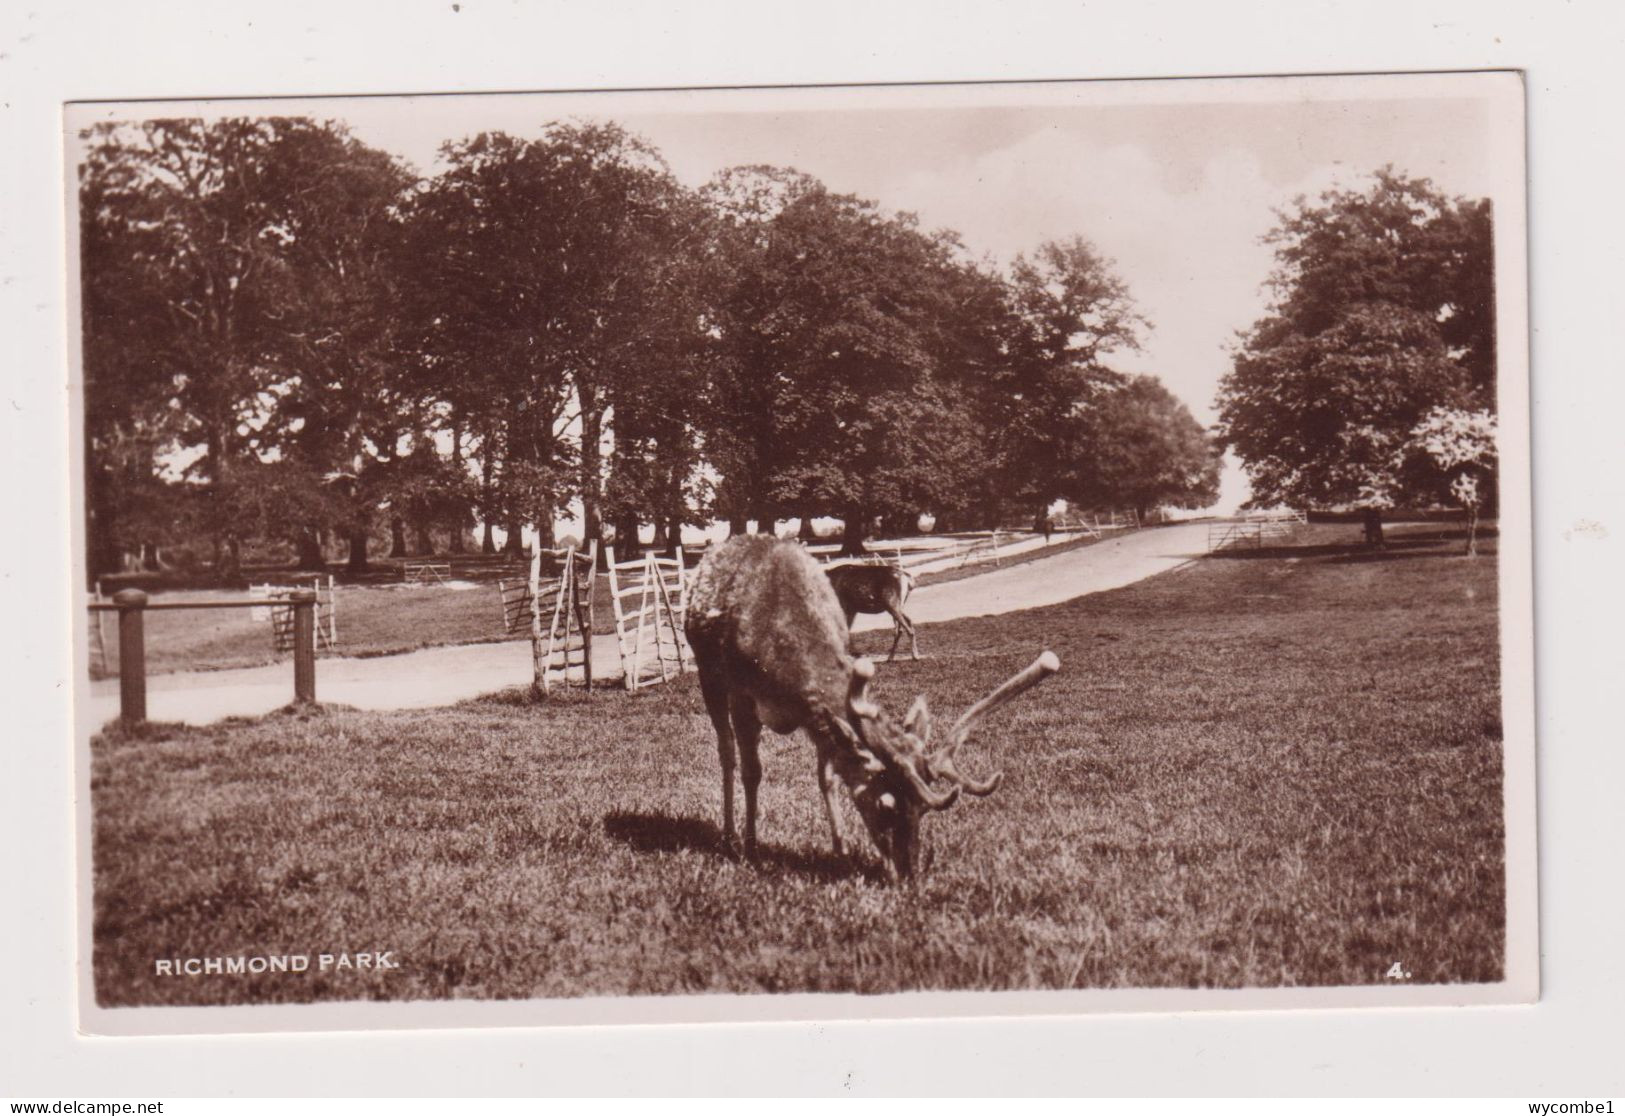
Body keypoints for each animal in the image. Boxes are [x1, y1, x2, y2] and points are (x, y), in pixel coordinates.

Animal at [682, 536, 1053, 883]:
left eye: (922, 811)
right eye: (885, 806)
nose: (907, 874)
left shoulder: (822, 717)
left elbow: (827, 778)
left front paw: (842, 853)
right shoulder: (743, 695)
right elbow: (752, 772)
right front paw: (751, 848)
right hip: (709, 675)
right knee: (726, 752)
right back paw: (730, 836)